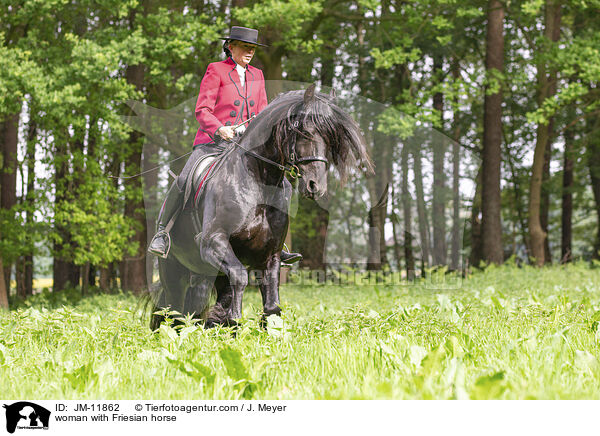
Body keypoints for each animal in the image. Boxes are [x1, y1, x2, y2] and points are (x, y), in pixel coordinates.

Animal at [149, 83, 372, 328]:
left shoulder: (270, 254)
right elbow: (239, 277)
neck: (259, 185)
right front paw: (235, 320)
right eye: (305, 132)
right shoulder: (213, 242)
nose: (316, 186)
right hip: (174, 272)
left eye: (331, 138)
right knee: (172, 312)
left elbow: (272, 306)